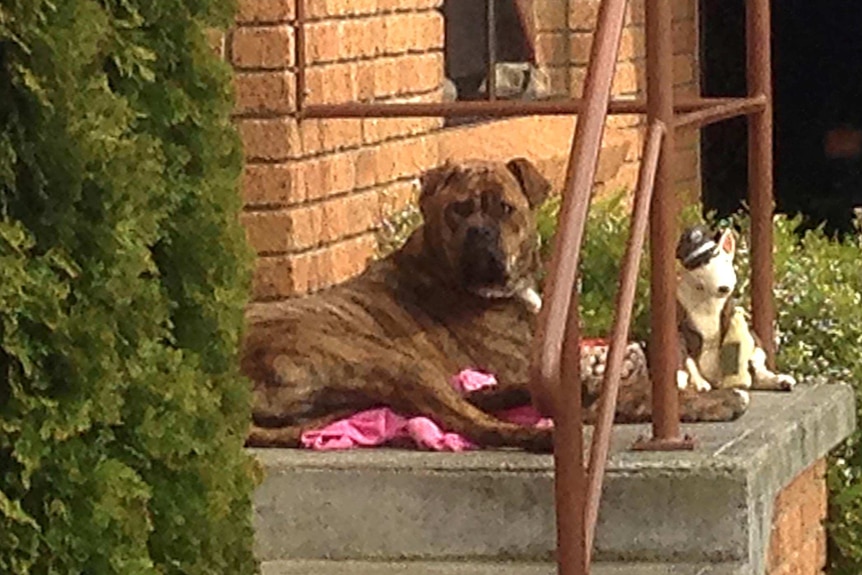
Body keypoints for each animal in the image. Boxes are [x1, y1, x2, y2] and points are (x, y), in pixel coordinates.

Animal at [241, 159, 748, 454]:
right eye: (458, 210)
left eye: (505, 208)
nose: (479, 233)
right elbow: (634, 391)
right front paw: (715, 400)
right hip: (383, 356)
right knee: (477, 424)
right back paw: (537, 434)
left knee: (470, 401)